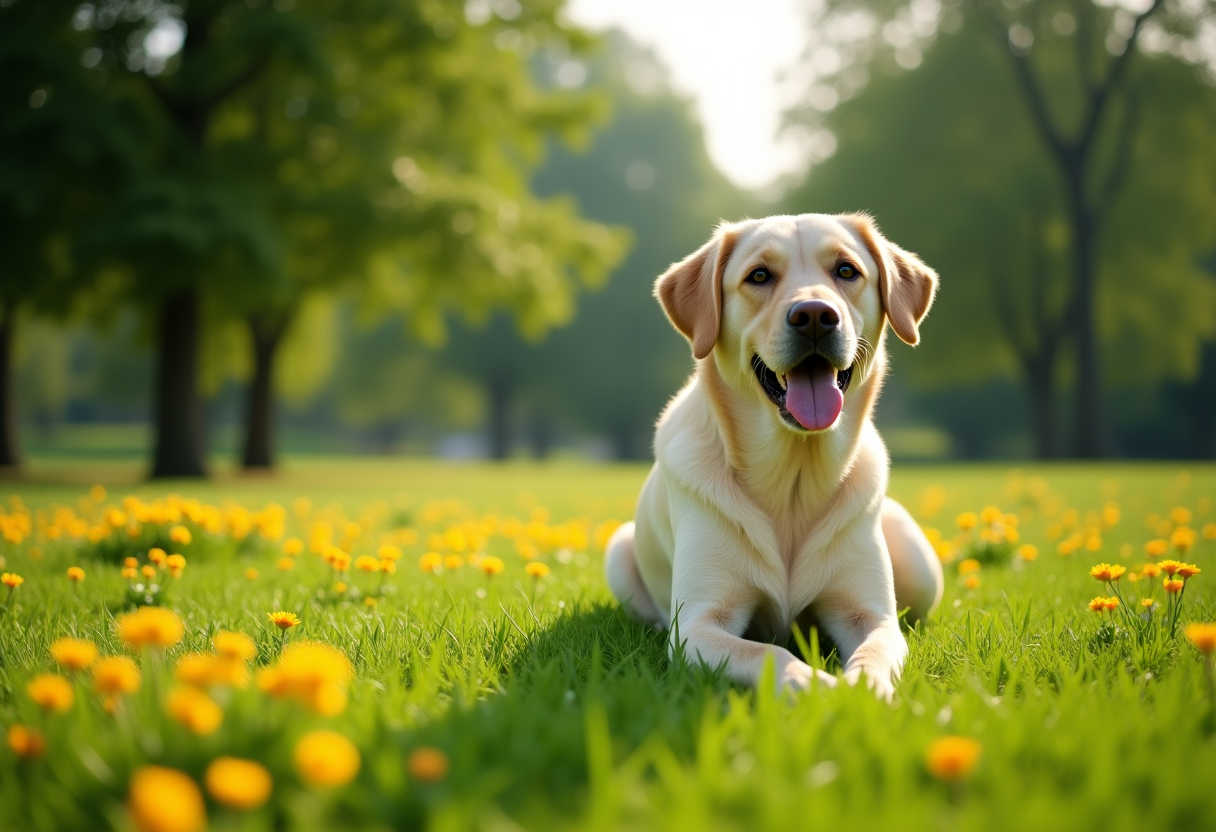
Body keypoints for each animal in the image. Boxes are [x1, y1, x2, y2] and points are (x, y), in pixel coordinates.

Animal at [605, 211, 938, 700]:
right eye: (759, 276)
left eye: (846, 270)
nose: (815, 315)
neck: (793, 478)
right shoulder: (698, 625)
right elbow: (770, 654)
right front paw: (819, 689)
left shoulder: (872, 615)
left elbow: (873, 656)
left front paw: (861, 695)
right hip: (618, 551)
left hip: (922, 567)